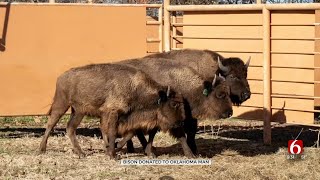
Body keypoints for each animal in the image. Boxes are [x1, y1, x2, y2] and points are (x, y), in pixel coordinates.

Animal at [38, 63, 191, 159]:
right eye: (174, 104)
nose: (180, 123)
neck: (136, 88)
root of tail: (61, 77)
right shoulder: (113, 113)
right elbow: (111, 132)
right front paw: (113, 154)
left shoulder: (127, 118)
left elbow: (128, 134)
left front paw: (113, 149)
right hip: (61, 105)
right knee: (51, 124)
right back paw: (42, 149)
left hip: (78, 112)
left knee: (70, 128)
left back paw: (81, 153)